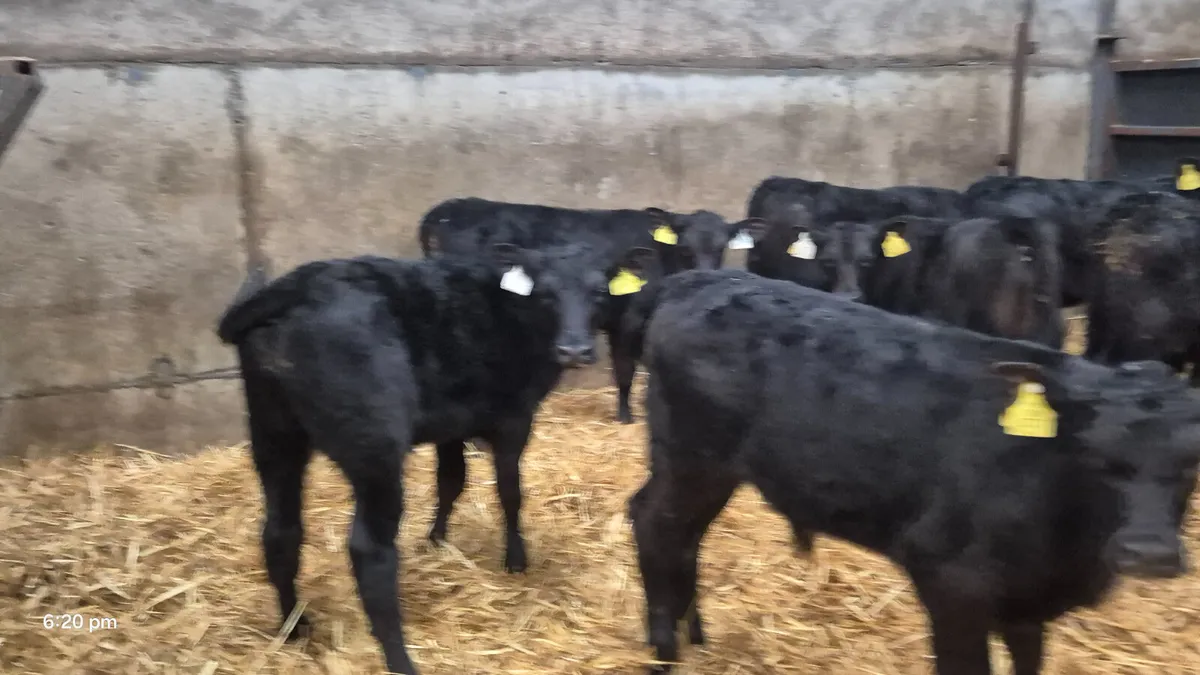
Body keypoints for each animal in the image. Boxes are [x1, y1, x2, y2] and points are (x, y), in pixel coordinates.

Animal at [216, 242, 654, 675]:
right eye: (545, 293)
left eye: (599, 292)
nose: (575, 349)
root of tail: (298, 285)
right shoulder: (514, 418)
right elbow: (510, 492)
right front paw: (515, 559)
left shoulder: (452, 423)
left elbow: (451, 481)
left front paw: (437, 540)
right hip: (373, 449)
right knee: (369, 550)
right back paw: (400, 660)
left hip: (274, 434)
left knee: (281, 532)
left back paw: (294, 627)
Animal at [419, 196, 761, 424]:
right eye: (684, 247)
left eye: (721, 247)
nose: (708, 273)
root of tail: (446, 209)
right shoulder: (627, 320)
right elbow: (625, 369)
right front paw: (626, 416)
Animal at [622, 269, 1200, 675]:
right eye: (1094, 453)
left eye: (1192, 460)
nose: (1148, 554)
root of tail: (696, 278)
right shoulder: (949, 580)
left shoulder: (1026, 604)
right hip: (692, 457)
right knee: (656, 523)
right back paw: (665, 650)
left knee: (684, 537)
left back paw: (694, 634)